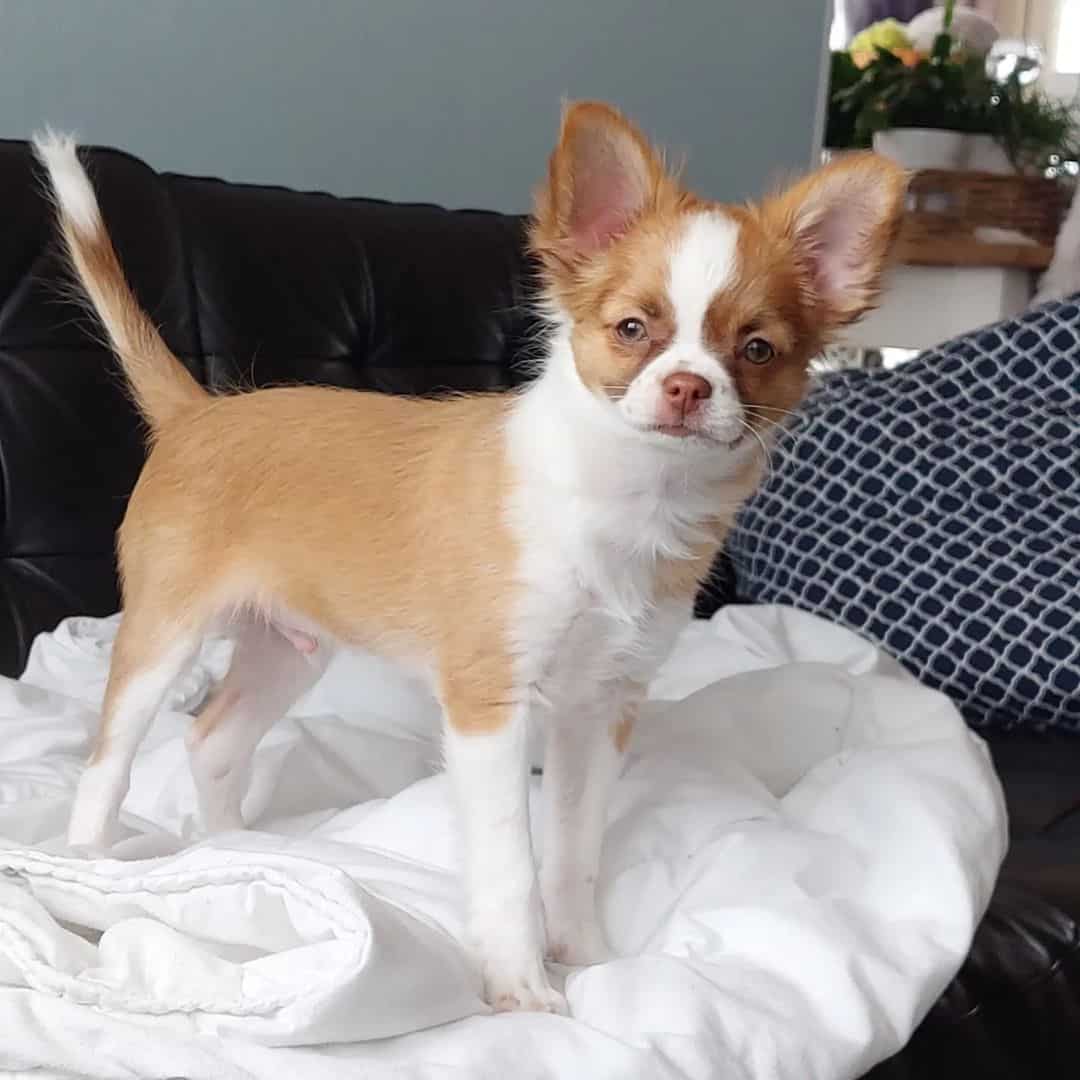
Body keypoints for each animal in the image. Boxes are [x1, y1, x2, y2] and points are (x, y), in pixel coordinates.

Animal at [33, 103, 907, 1010]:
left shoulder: (602, 707)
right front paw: (521, 984)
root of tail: (196, 412)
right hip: (164, 636)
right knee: (106, 766)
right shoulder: (490, 706)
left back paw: (245, 859)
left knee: (212, 742)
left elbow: (575, 850)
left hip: (289, 649)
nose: (688, 387)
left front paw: (587, 954)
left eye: (758, 350)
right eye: (633, 329)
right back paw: (90, 882)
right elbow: (511, 863)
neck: (627, 500)